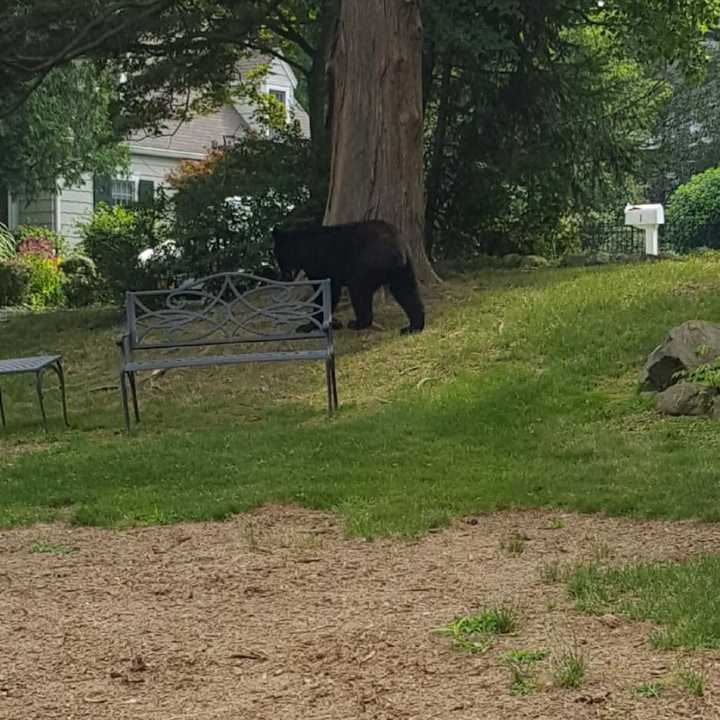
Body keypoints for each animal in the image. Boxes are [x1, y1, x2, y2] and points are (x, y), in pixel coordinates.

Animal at [272, 219, 424, 334]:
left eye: (279, 256)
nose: (283, 276)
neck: (303, 249)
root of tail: (398, 248)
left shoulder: (321, 265)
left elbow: (325, 294)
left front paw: (307, 326)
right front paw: (333, 323)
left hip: (364, 265)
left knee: (359, 291)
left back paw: (356, 323)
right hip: (403, 270)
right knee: (407, 291)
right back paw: (413, 327)